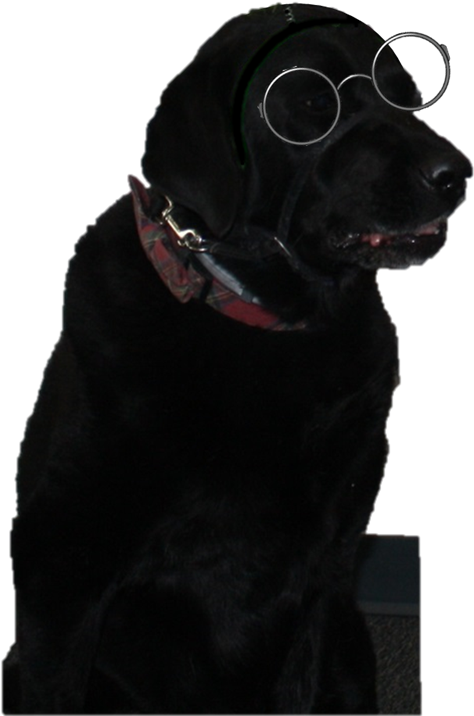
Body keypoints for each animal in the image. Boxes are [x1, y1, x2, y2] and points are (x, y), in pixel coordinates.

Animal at [5, 3, 471, 715]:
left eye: (408, 94)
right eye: (313, 103)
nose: (456, 175)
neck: (268, 321)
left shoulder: (320, 577)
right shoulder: (60, 573)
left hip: (350, 648)